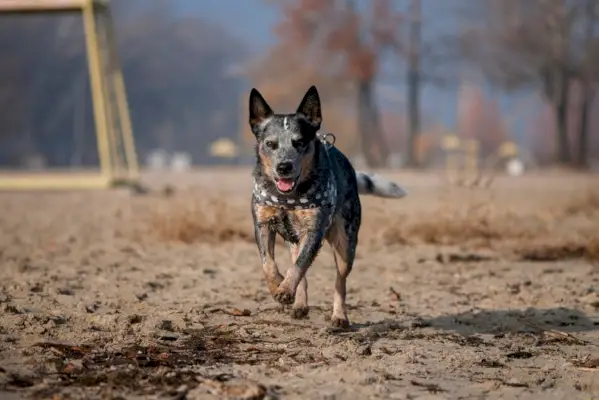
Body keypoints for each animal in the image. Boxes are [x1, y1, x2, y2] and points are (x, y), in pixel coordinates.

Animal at [248, 85, 408, 328]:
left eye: (300, 142)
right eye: (270, 144)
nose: (284, 167)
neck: (289, 197)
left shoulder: (315, 229)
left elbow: (300, 265)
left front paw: (285, 289)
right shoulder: (262, 223)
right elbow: (269, 263)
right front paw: (278, 285)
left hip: (345, 243)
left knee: (339, 281)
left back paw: (339, 316)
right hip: (296, 241)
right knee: (299, 267)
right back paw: (300, 304)